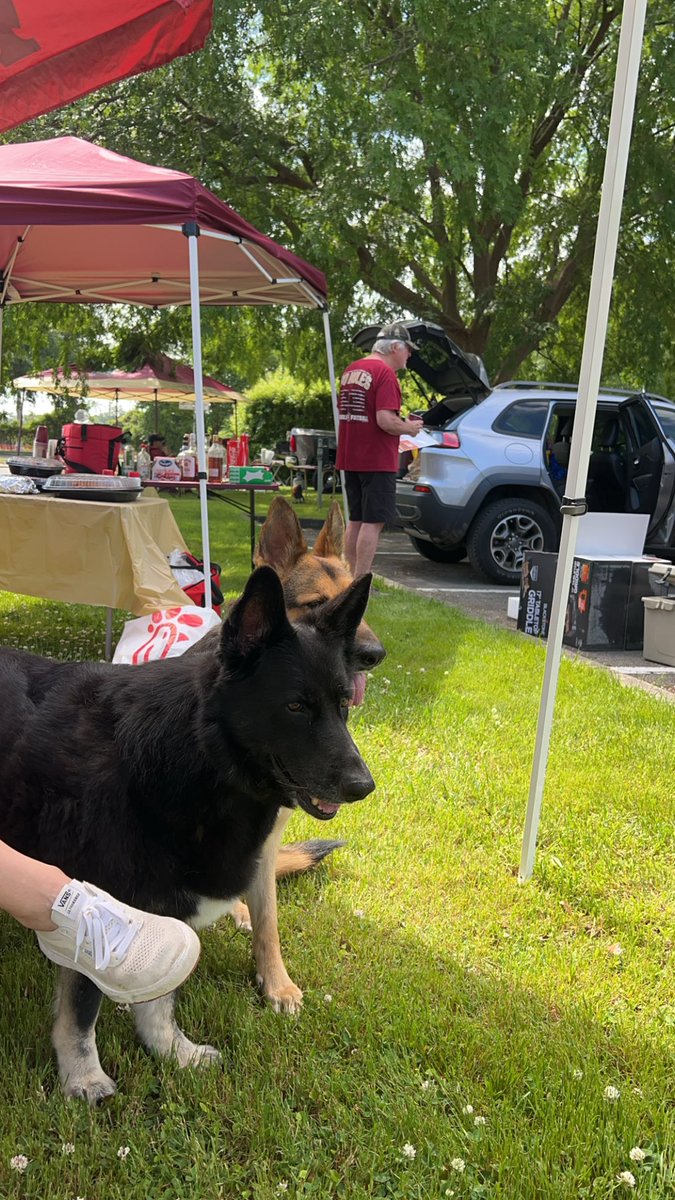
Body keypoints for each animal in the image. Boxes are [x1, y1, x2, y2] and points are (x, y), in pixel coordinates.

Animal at [0, 566, 372, 1099]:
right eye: (296, 707)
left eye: (344, 705)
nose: (364, 786)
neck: (196, 752)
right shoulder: (97, 911)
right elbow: (82, 1013)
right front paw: (83, 1078)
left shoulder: (166, 912)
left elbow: (160, 1001)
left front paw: (173, 1052)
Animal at [210, 494, 384, 1012]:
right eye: (315, 605)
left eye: (358, 604)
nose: (374, 654)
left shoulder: (265, 845)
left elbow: (270, 924)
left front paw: (274, 981)